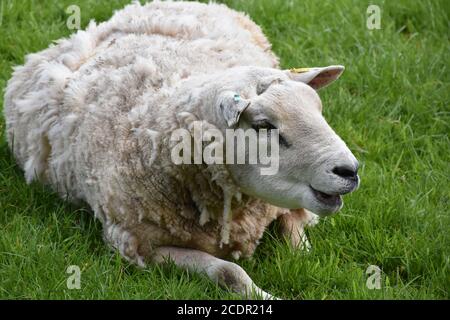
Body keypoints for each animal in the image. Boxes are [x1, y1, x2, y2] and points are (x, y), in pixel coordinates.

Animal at [2, 1, 358, 300]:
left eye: (318, 108)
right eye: (264, 125)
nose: (350, 171)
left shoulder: (282, 206)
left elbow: (299, 237)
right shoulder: (141, 245)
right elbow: (228, 272)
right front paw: (266, 295)